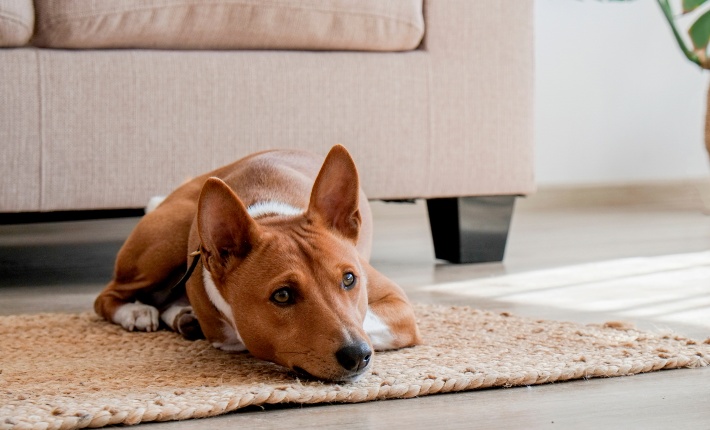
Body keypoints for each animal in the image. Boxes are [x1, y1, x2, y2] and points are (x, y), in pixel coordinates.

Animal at [97, 145, 426, 382]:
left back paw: (182, 317)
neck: (270, 213)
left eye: (349, 279)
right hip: (168, 239)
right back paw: (137, 312)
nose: (357, 355)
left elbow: (365, 319)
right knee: (106, 298)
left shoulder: (399, 307)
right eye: (282, 295)